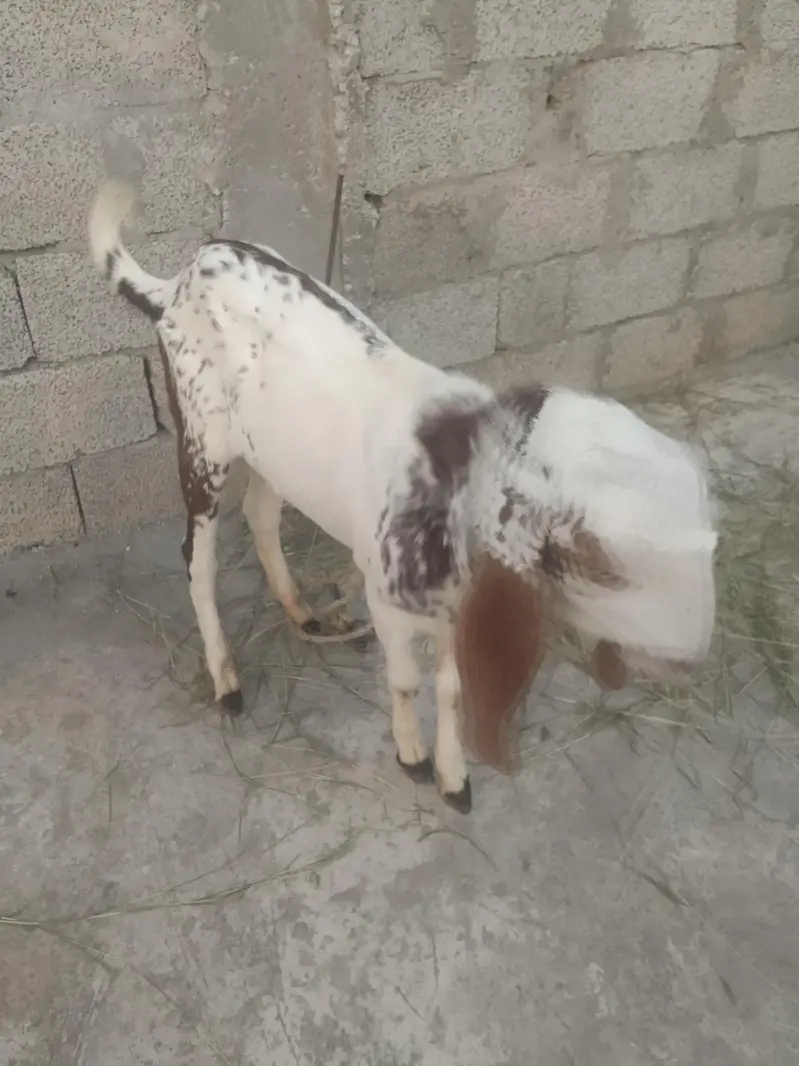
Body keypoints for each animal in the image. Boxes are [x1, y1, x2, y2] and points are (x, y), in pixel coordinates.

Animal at [88, 181, 717, 813]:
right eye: (605, 558)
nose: (691, 652)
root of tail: (181, 278)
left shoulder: (459, 611)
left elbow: (453, 689)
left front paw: (454, 776)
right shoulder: (386, 599)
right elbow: (408, 680)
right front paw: (413, 756)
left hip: (274, 451)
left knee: (261, 514)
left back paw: (301, 612)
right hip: (202, 442)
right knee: (198, 558)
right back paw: (226, 680)